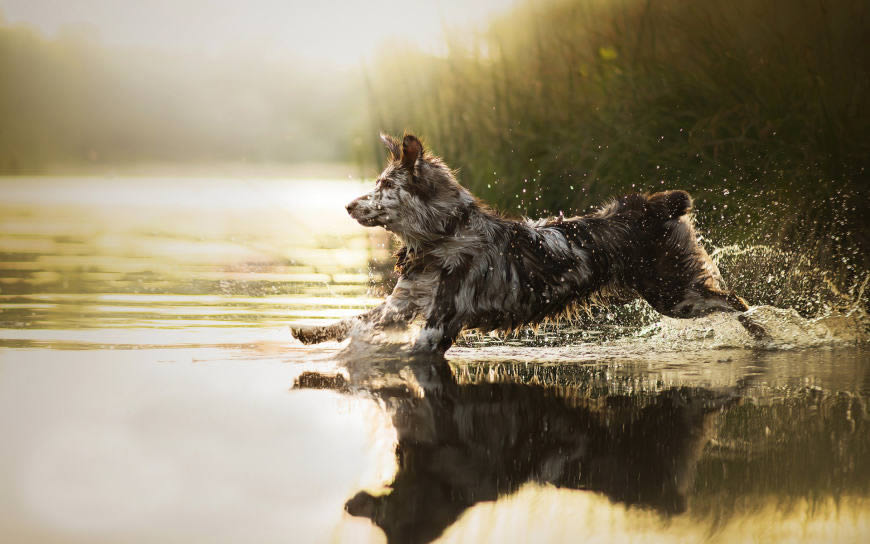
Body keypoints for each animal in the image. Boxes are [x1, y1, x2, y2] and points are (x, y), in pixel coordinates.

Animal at [292, 134, 756, 350]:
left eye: (386, 185)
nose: (348, 205)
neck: (445, 234)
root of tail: (650, 206)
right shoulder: (401, 305)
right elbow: (351, 320)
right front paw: (308, 331)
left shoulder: (440, 322)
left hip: (674, 294)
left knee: (737, 302)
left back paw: (763, 332)